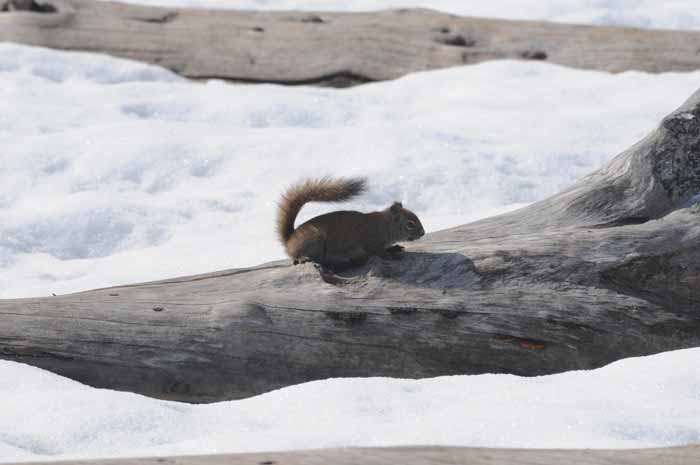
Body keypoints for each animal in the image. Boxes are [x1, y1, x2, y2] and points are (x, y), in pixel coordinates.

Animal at [276, 177, 424, 272]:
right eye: (410, 224)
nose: (423, 233)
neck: (384, 225)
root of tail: (289, 241)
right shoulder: (371, 242)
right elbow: (379, 252)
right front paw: (390, 256)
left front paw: (394, 248)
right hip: (313, 239)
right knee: (298, 256)